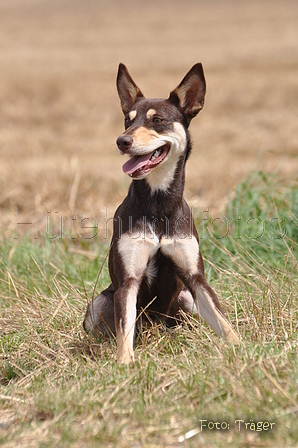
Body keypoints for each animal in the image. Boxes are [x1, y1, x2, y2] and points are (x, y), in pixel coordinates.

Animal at [84, 63, 240, 364]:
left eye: (157, 120)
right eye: (127, 120)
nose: (122, 141)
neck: (158, 206)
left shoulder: (195, 278)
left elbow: (223, 322)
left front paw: (243, 349)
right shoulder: (128, 282)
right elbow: (125, 331)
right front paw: (124, 364)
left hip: (187, 302)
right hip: (97, 305)